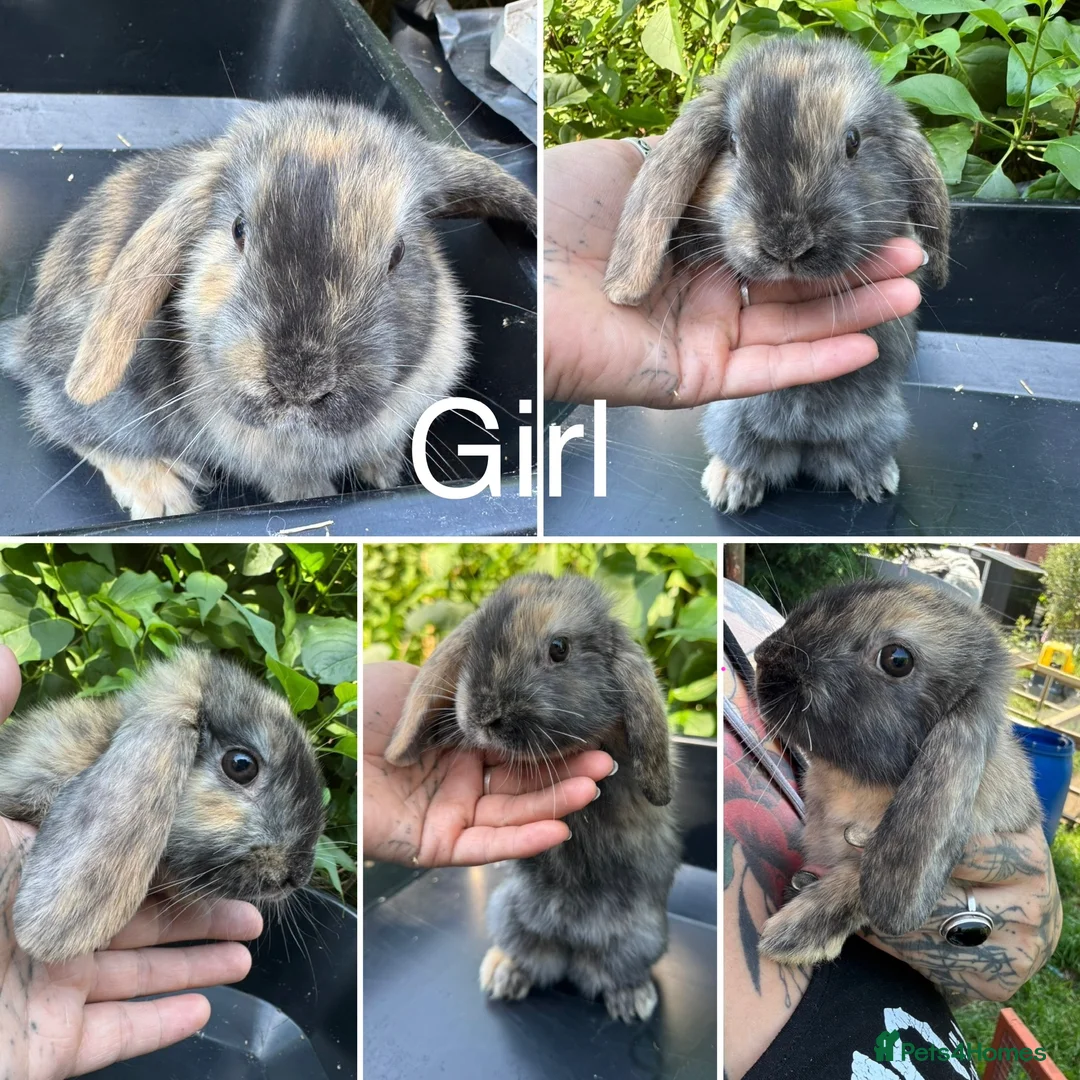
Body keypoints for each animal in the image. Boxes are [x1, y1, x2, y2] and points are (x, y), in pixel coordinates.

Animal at [0, 97, 536, 519]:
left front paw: (383, 474)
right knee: (64, 424)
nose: (300, 383)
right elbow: (297, 486)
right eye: (238, 230)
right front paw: (321, 491)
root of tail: (25, 339)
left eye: (399, 253)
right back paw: (166, 495)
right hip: (109, 402)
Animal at [383, 573, 681, 1023]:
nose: (485, 718)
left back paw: (633, 1002)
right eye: (476, 644)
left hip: (639, 939)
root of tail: (569, 942)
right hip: (508, 916)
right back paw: (502, 976)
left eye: (559, 648)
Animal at [602, 37, 951, 513]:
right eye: (732, 143)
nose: (787, 244)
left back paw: (875, 481)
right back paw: (730, 485)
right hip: (731, 423)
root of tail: (801, 445)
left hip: (882, 423)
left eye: (853, 141)